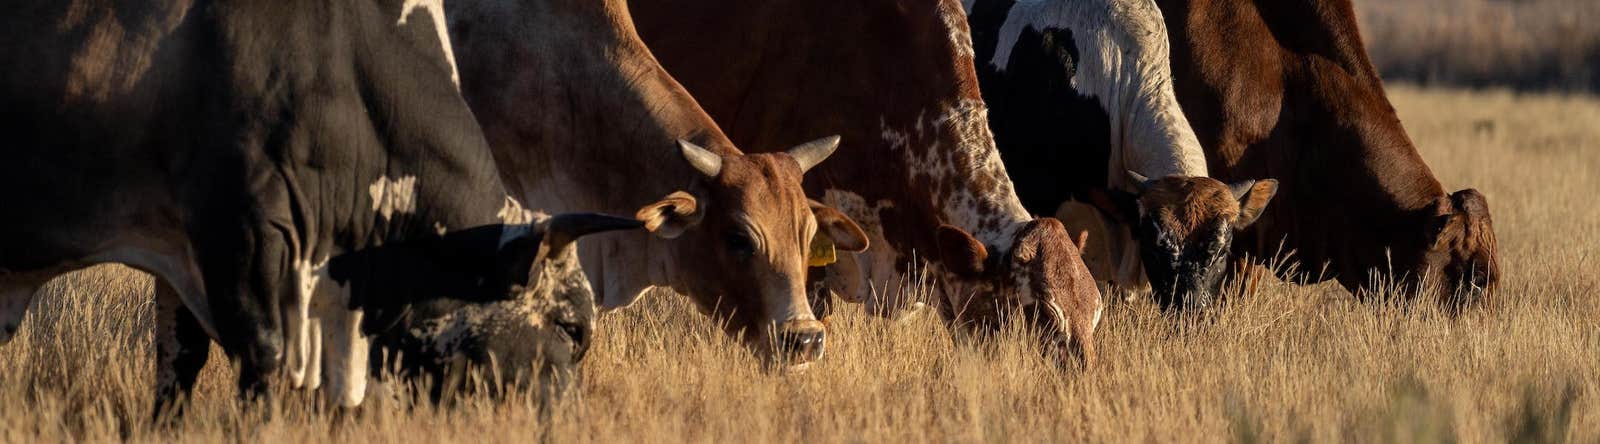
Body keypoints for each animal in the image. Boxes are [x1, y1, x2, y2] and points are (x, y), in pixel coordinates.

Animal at [0, 0, 634, 413]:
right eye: (573, 327)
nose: (570, 418)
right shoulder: (242, 234)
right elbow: (260, 362)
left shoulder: (181, 251)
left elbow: (179, 360)